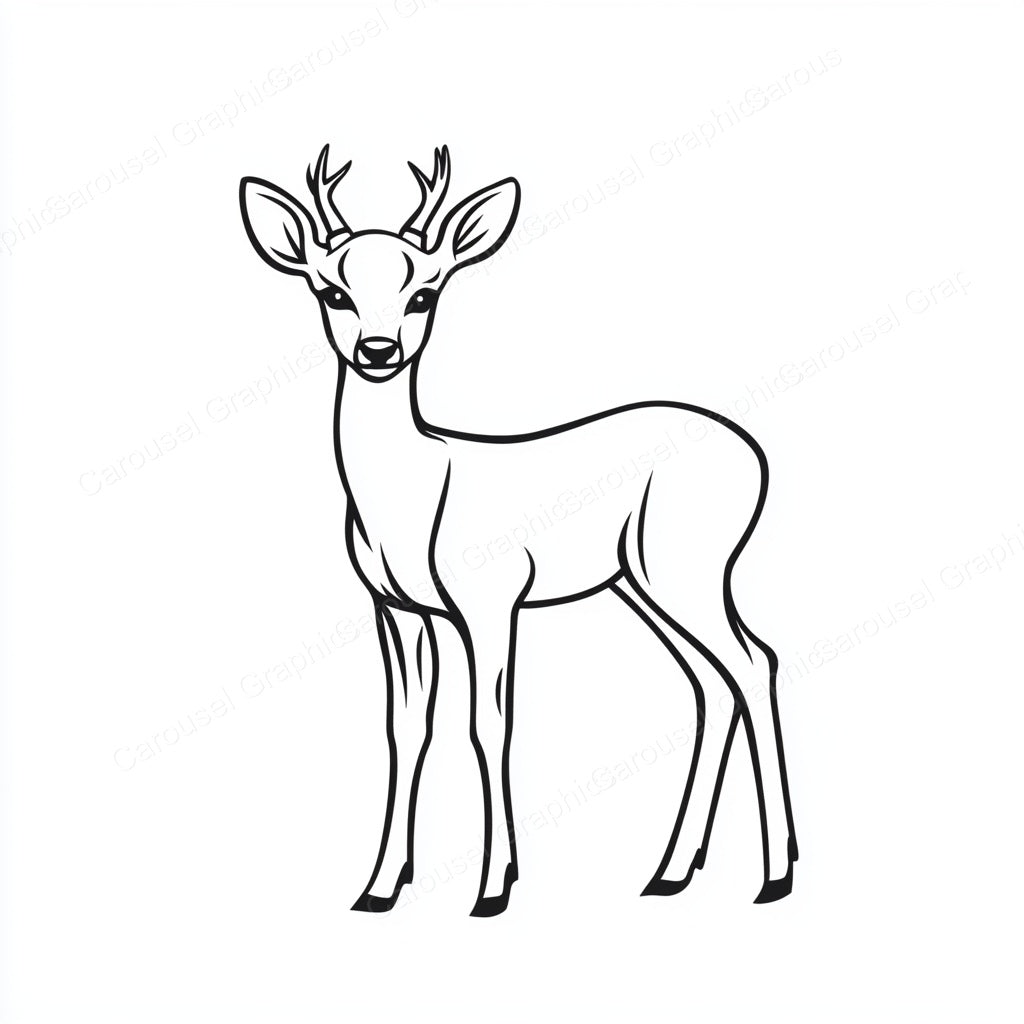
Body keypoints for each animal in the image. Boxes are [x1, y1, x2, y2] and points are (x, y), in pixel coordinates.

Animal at [239, 145, 797, 917]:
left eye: (424, 293)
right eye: (332, 292)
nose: (379, 350)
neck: (415, 496)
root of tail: (753, 455)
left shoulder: (491, 597)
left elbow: (488, 725)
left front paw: (493, 887)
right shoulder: (395, 608)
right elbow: (405, 729)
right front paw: (379, 886)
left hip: (685, 567)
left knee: (753, 663)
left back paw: (774, 876)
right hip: (639, 583)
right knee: (713, 685)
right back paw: (670, 872)